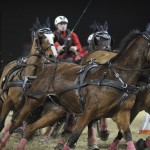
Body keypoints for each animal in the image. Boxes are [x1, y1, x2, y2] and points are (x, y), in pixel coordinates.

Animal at [4, 23, 150, 150]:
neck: (117, 77)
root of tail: (49, 67)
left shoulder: (123, 113)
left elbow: (127, 136)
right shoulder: (89, 112)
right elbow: (74, 136)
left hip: (55, 111)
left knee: (30, 128)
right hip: (33, 101)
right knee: (16, 122)